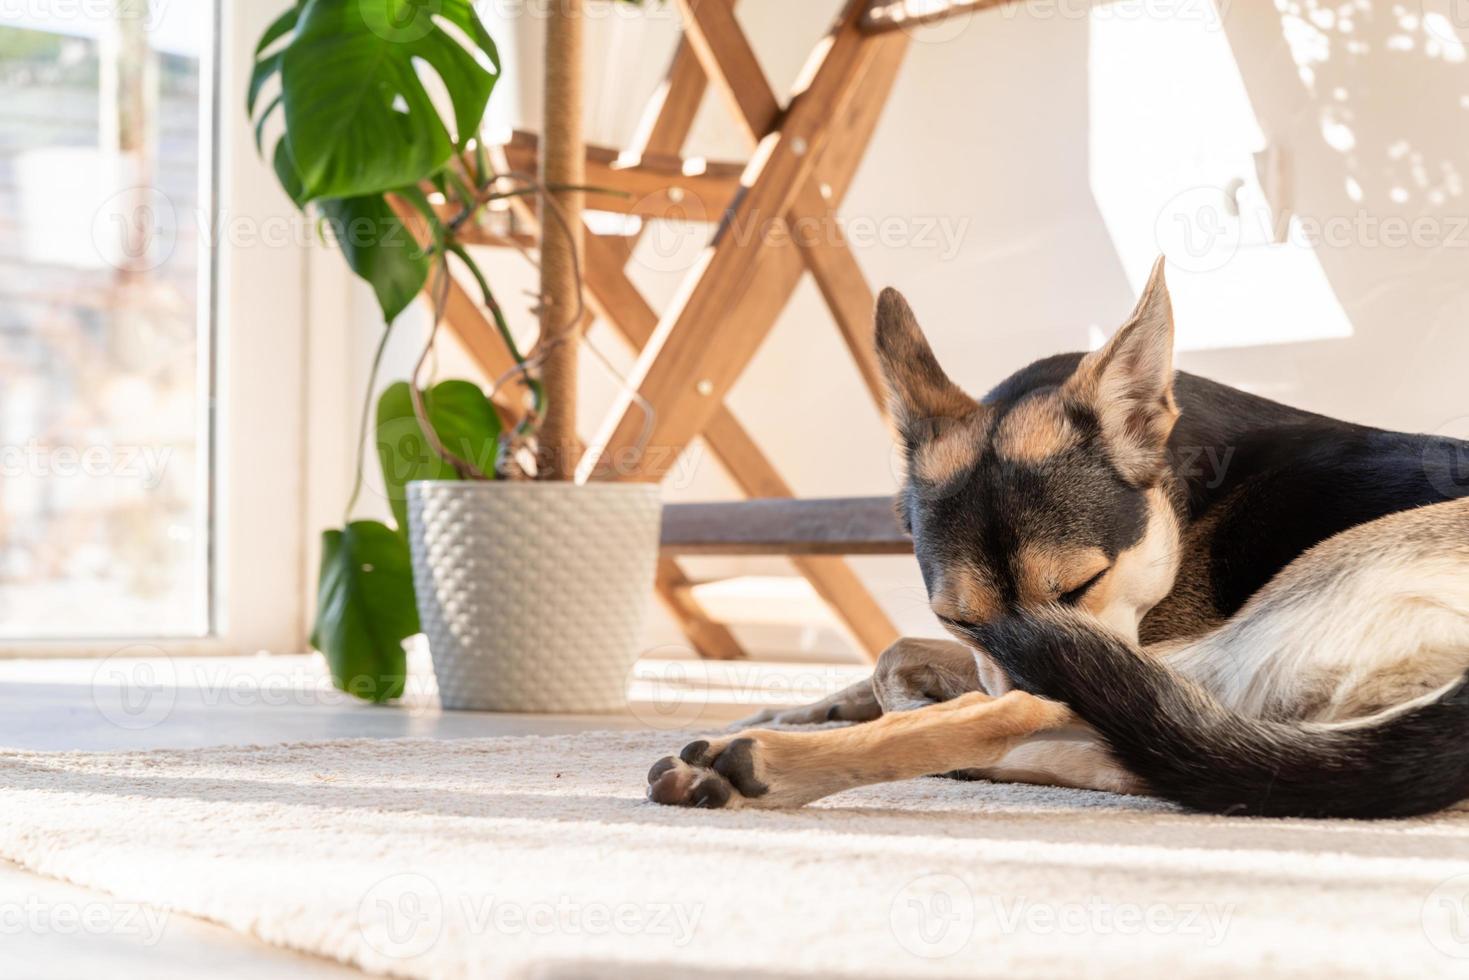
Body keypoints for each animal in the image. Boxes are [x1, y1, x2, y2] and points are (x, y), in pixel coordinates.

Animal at [646, 257, 1469, 816]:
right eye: (961, 618)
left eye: (1080, 586)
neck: (1180, 492)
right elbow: (896, 654)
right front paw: (797, 706)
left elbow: (911, 665)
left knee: (1041, 718)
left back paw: (768, 765)